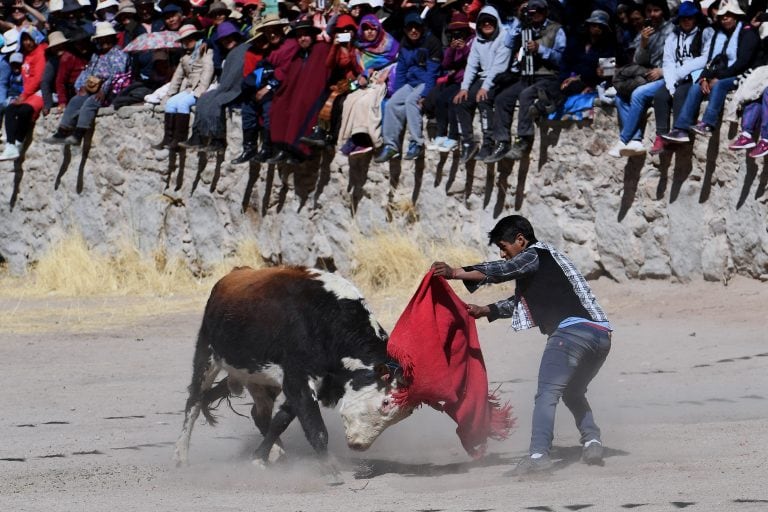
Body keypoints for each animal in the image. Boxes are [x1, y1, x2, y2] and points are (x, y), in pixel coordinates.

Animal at [174, 266, 414, 482]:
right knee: (194, 403)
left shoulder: (304, 383)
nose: (358, 446)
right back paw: (181, 457)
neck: (327, 319)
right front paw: (329, 468)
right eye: (385, 403)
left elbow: (281, 420)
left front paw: (260, 458)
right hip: (206, 356)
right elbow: (315, 427)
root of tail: (233, 274)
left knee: (258, 413)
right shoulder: (298, 380)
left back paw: (276, 452)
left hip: (259, 378)